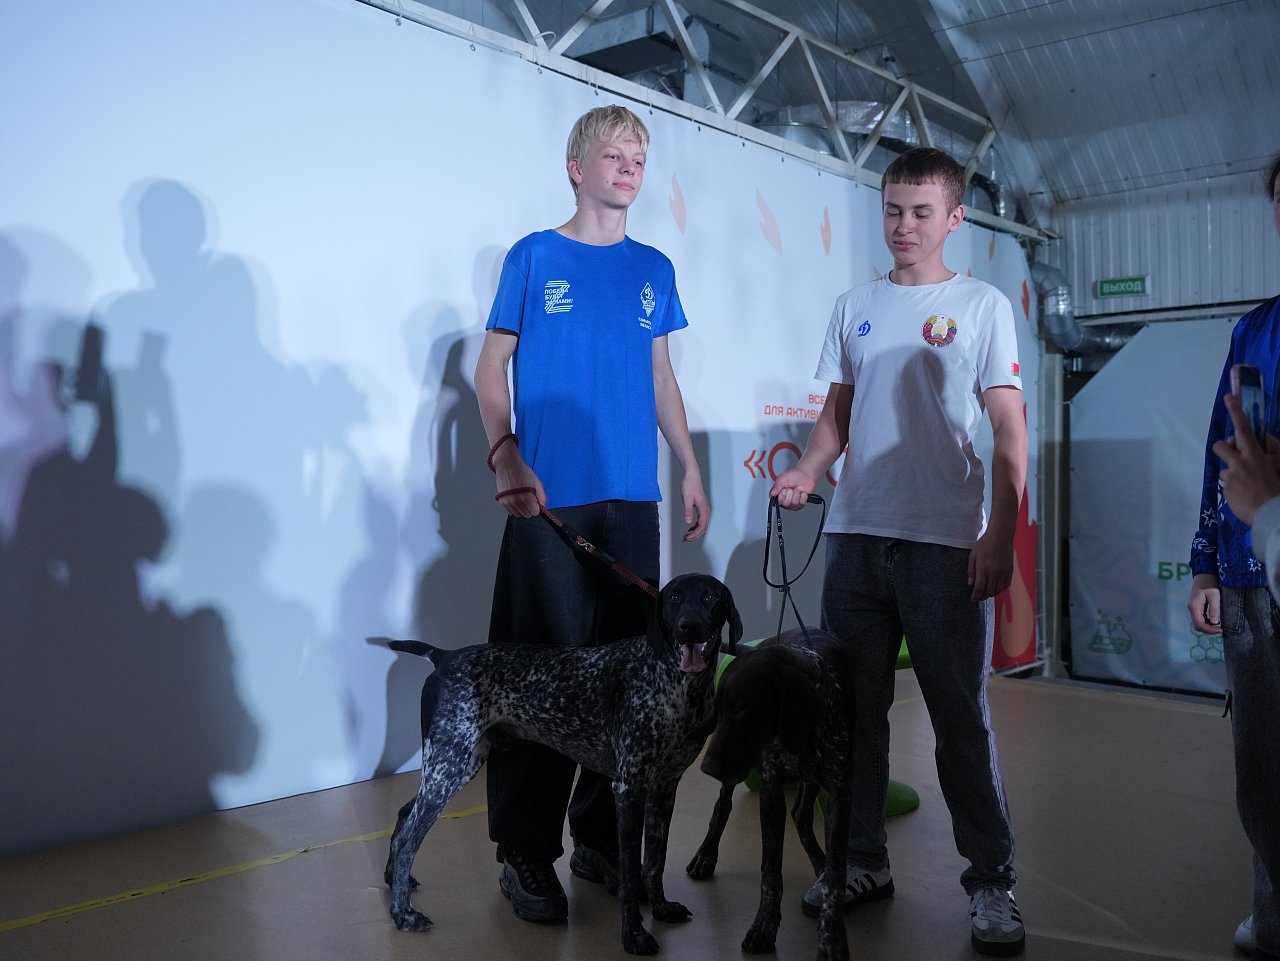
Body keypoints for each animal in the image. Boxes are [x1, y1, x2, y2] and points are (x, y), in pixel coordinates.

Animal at [376, 572, 741, 956]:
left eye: (711, 597)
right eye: (674, 598)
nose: (689, 627)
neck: (678, 685)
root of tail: (444, 656)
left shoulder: (664, 789)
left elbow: (655, 861)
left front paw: (661, 908)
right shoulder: (629, 788)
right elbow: (630, 874)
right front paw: (634, 935)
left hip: (454, 764)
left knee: (404, 816)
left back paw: (396, 883)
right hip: (449, 763)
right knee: (407, 839)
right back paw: (402, 914)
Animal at [692, 627, 856, 961]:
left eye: (741, 709)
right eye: (718, 711)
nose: (707, 767)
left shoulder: (840, 795)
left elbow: (836, 878)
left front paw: (832, 938)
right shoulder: (770, 792)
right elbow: (770, 872)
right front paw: (764, 926)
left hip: (810, 778)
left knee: (802, 815)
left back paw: (819, 863)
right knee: (722, 805)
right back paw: (705, 854)